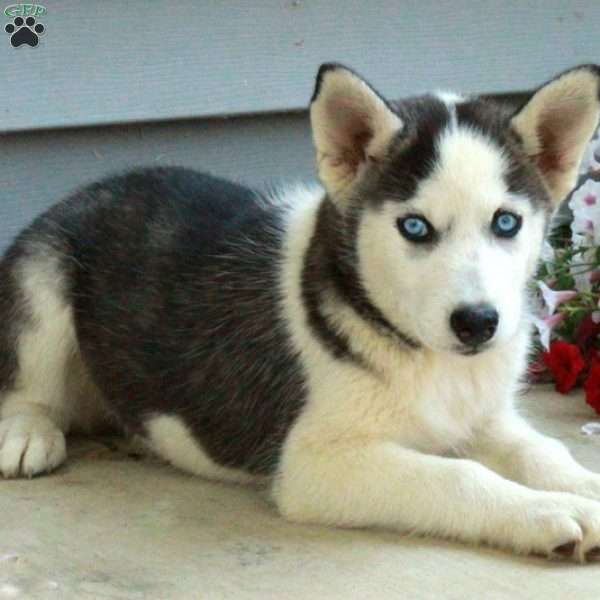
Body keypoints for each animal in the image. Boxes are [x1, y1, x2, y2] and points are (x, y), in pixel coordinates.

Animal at [1, 63, 600, 560]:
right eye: (414, 227)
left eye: (506, 222)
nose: (477, 323)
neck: (425, 358)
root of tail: (97, 183)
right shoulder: (314, 464)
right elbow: (460, 476)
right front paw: (549, 511)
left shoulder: (485, 416)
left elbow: (542, 451)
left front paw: (582, 486)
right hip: (43, 280)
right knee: (27, 387)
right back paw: (29, 434)